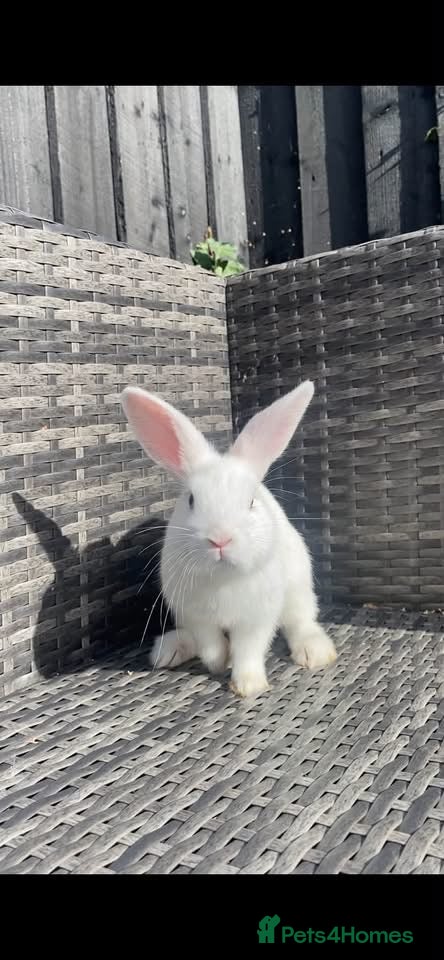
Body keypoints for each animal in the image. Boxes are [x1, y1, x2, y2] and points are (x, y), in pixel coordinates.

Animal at [121, 381, 337, 698]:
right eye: (191, 500)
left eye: (251, 501)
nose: (220, 540)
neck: (222, 578)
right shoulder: (195, 615)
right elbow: (210, 646)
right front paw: (220, 662)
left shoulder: (257, 618)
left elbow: (249, 650)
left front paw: (248, 686)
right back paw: (169, 650)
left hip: (299, 590)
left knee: (301, 621)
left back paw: (314, 652)